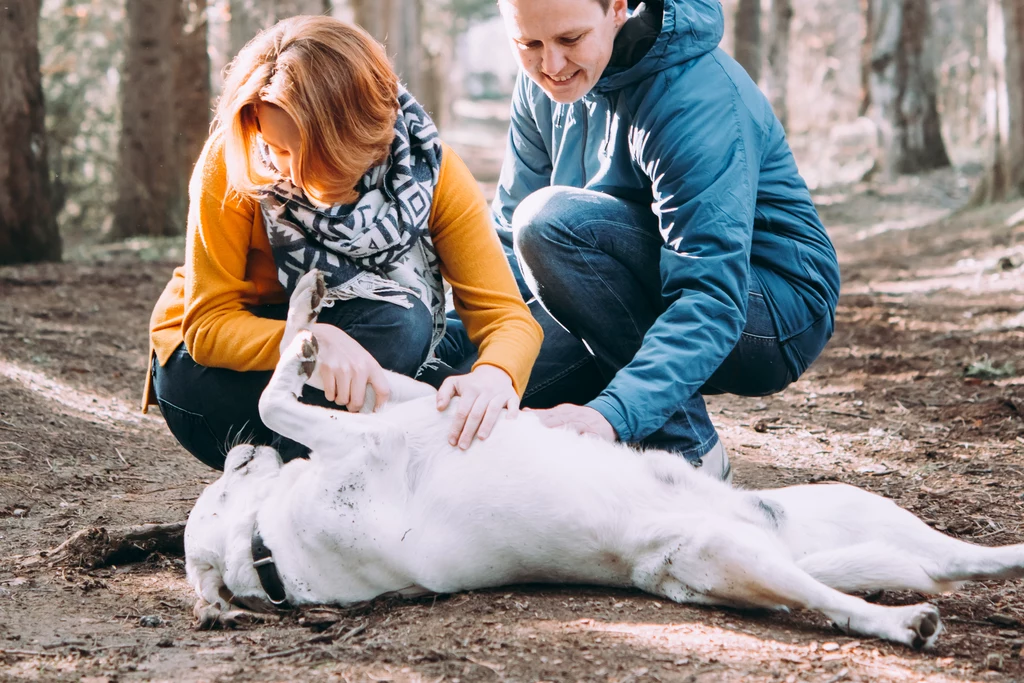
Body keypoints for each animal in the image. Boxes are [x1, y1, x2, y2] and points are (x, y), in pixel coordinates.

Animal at [184, 270, 1024, 651]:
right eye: (225, 482)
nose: (241, 452)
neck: (268, 542)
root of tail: (781, 542)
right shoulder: (351, 440)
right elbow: (275, 401)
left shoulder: (410, 398)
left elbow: (326, 375)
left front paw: (309, 317)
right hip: (734, 553)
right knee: (840, 600)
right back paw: (903, 621)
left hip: (854, 503)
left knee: (960, 557)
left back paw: (1005, 556)